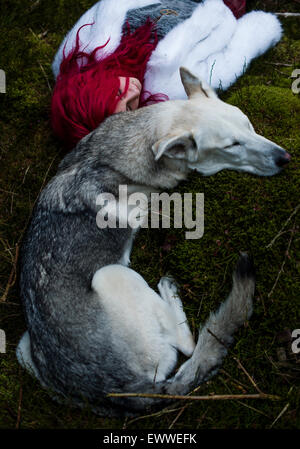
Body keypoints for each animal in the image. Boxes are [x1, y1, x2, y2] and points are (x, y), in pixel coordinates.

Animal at [17, 68, 290, 414]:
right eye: (232, 145)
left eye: (249, 125)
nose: (285, 158)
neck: (140, 138)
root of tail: (124, 392)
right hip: (112, 275)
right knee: (187, 347)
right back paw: (168, 291)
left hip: (24, 348)